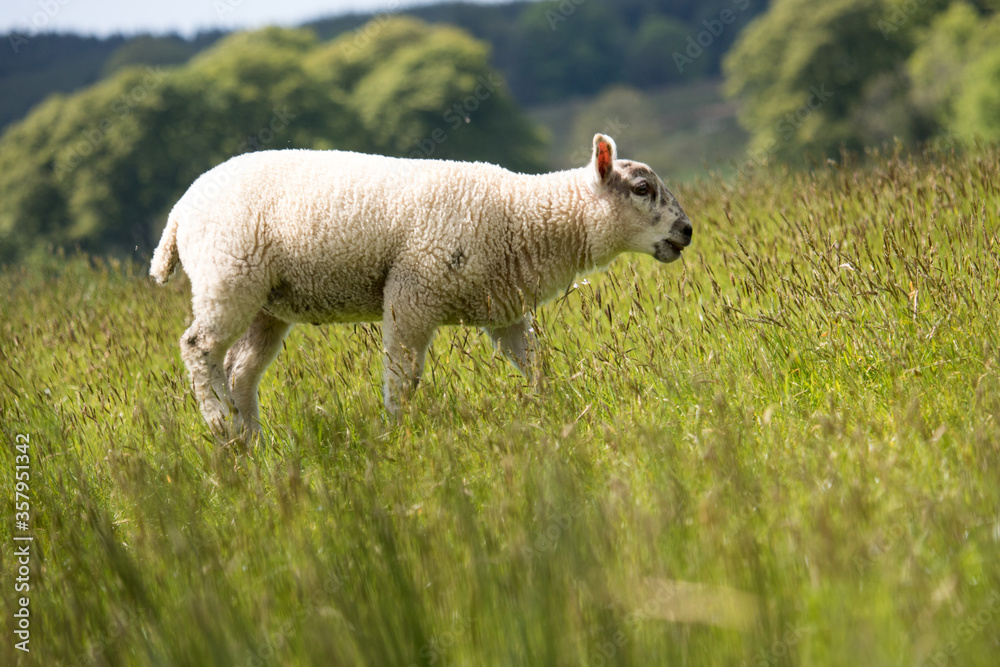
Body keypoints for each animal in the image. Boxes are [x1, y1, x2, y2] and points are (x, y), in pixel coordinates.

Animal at [150, 133, 692, 439]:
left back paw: (250, 444)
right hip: (228, 276)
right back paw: (219, 423)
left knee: (240, 370)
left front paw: (555, 407)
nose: (687, 231)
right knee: (198, 346)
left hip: (266, 302)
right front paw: (399, 435)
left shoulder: (503, 309)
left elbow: (533, 363)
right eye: (642, 189)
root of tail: (180, 210)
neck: (527, 217)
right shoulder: (412, 296)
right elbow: (403, 378)